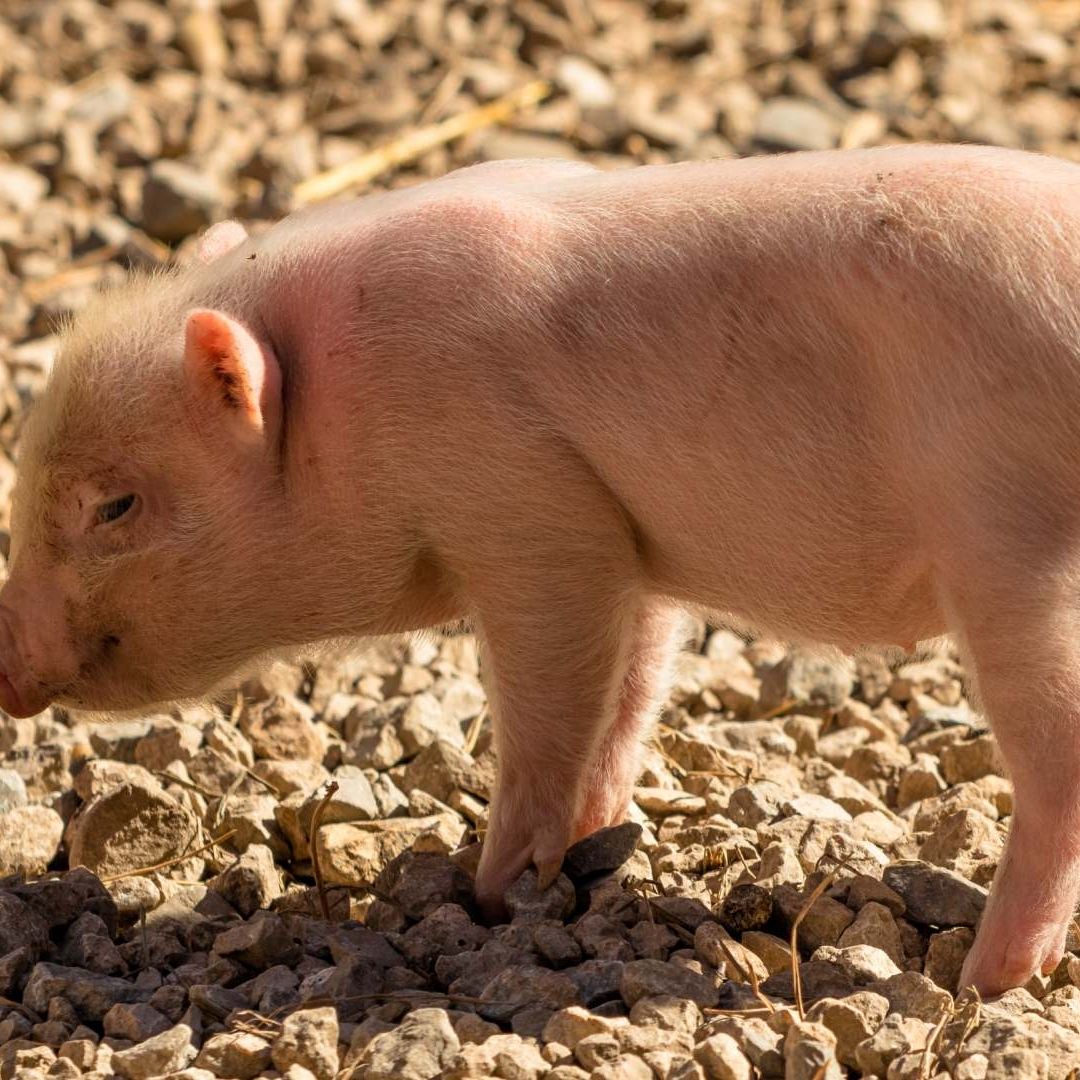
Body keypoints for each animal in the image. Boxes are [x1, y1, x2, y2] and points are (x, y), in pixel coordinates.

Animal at [4, 143, 1080, 995]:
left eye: (115, 506)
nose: (7, 667)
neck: (342, 405)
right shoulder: (627, 540)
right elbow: (632, 687)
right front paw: (591, 844)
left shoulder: (533, 513)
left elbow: (550, 704)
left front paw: (492, 891)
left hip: (1013, 537)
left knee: (1056, 757)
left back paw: (985, 983)